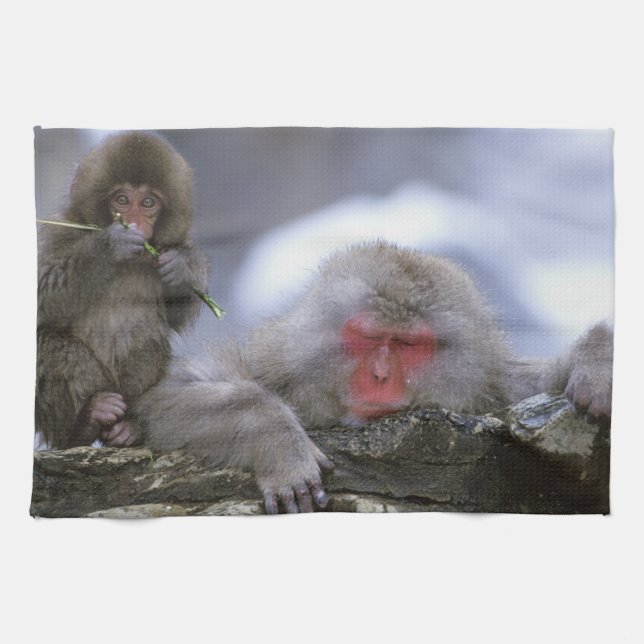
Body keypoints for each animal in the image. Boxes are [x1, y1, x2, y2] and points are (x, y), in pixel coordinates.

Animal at [36, 132, 208, 450]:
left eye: (148, 202)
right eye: (122, 200)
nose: (136, 223)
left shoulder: (166, 247)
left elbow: (173, 317)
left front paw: (182, 268)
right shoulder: (59, 231)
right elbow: (42, 296)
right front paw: (111, 245)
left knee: (149, 342)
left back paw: (131, 428)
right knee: (49, 344)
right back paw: (85, 422)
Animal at [132, 241, 613, 514]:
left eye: (407, 344)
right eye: (368, 337)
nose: (380, 376)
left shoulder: (486, 384)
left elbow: (532, 388)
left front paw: (595, 358)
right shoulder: (274, 363)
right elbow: (162, 399)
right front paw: (278, 439)